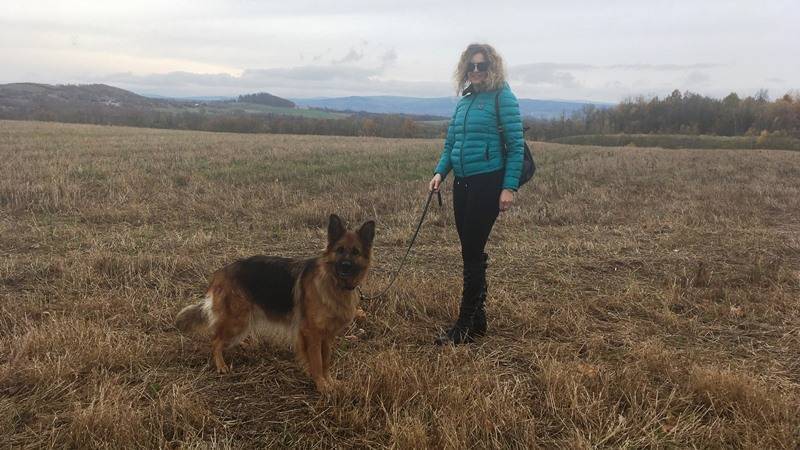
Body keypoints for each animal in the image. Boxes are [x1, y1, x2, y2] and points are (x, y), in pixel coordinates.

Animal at [175, 214, 375, 393]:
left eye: (355, 252)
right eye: (340, 250)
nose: (345, 266)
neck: (332, 283)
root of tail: (221, 272)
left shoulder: (327, 335)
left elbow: (325, 361)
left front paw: (330, 382)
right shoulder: (312, 333)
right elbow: (317, 362)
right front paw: (321, 385)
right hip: (237, 320)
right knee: (215, 340)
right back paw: (221, 365)